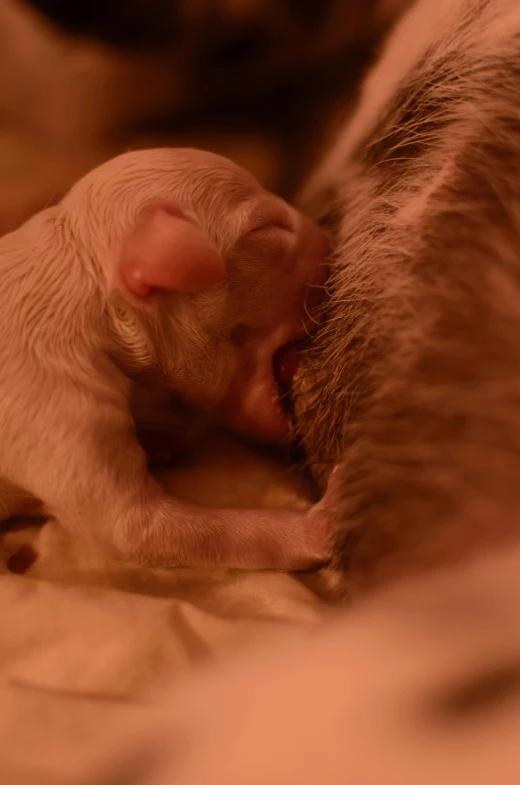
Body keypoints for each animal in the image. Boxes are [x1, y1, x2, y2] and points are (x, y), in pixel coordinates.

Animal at [0, 149, 330, 568]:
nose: (334, 235)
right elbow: (137, 530)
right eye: (266, 226)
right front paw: (323, 522)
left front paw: (156, 436)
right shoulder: (59, 416)